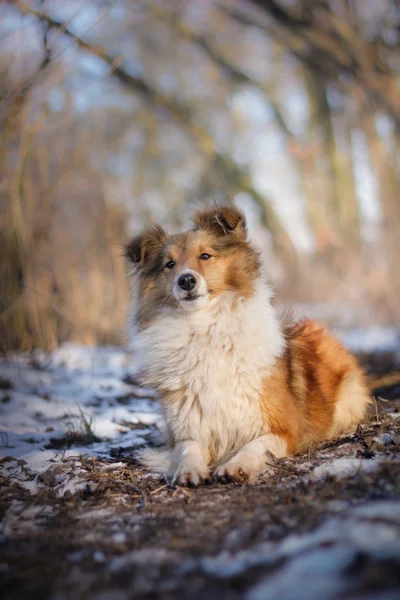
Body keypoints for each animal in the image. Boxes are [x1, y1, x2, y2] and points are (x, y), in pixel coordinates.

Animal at [126, 206, 372, 488]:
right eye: (169, 264)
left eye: (205, 255)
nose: (185, 280)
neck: (204, 328)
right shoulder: (187, 428)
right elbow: (190, 448)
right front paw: (188, 470)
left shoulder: (284, 429)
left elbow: (254, 445)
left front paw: (236, 466)